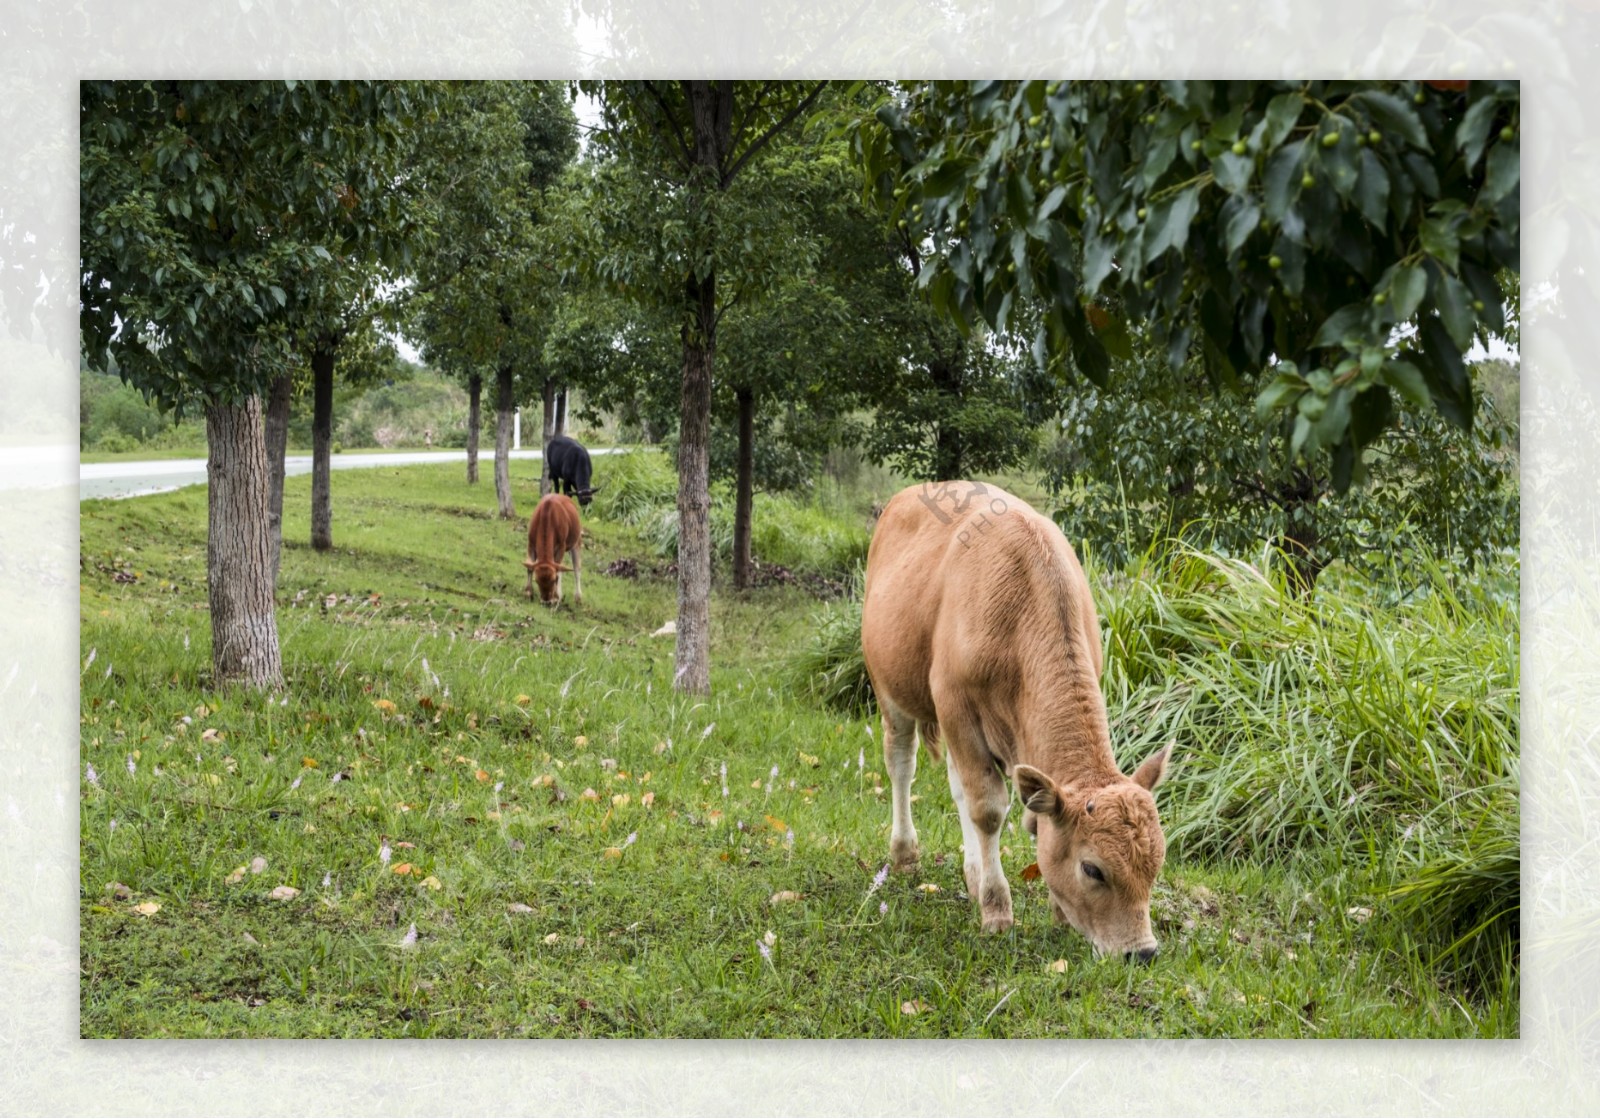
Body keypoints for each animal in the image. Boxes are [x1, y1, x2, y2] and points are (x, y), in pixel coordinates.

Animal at [864, 480, 1177, 960]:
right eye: (1093, 869)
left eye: (1157, 862)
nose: (1141, 952)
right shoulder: (956, 707)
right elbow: (988, 809)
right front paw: (997, 911)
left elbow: (1025, 816)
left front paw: (1054, 909)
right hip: (890, 688)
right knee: (901, 763)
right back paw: (905, 853)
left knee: (956, 784)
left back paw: (972, 873)